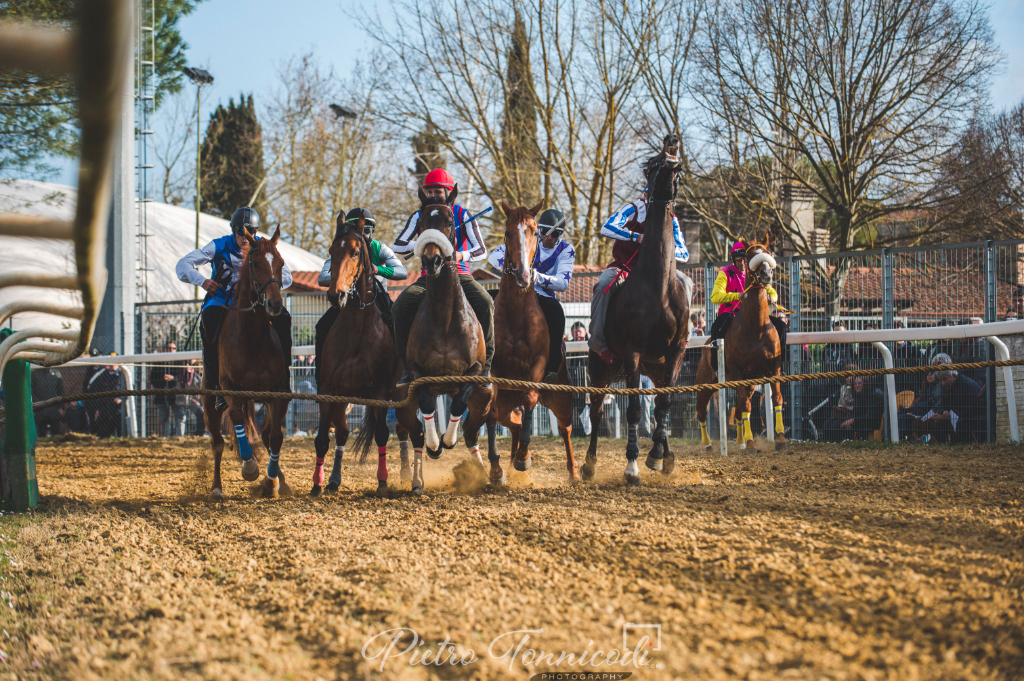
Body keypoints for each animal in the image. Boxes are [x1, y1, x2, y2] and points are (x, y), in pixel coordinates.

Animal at [202, 228, 292, 499]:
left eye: (281, 263)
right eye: (255, 263)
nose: (275, 304)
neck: (253, 339)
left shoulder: (277, 393)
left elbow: (275, 437)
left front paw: (272, 482)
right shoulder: (230, 389)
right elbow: (237, 421)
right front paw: (250, 467)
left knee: (265, 432)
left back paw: (279, 480)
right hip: (210, 403)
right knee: (217, 442)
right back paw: (217, 488)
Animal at [589, 134, 692, 483]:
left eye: (678, 165)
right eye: (654, 163)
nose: (672, 142)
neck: (658, 287)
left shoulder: (675, 351)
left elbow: (665, 403)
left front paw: (659, 456)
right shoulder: (632, 351)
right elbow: (634, 409)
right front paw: (632, 464)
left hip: (656, 366)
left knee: (660, 399)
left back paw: (664, 454)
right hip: (601, 366)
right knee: (595, 409)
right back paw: (588, 464)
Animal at [692, 233, 786, 450]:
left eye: (767, 253)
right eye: (751, 255)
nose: (766, 273)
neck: (756, 329)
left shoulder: (773, 368)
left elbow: (776, 398)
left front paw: (780, 438)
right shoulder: (737, 371)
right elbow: (745, 405)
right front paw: (751, 443)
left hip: (748, 382)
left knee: (739, 409)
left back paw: (741, 441)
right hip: (705, 381)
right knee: (701, 411)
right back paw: (708, 444)